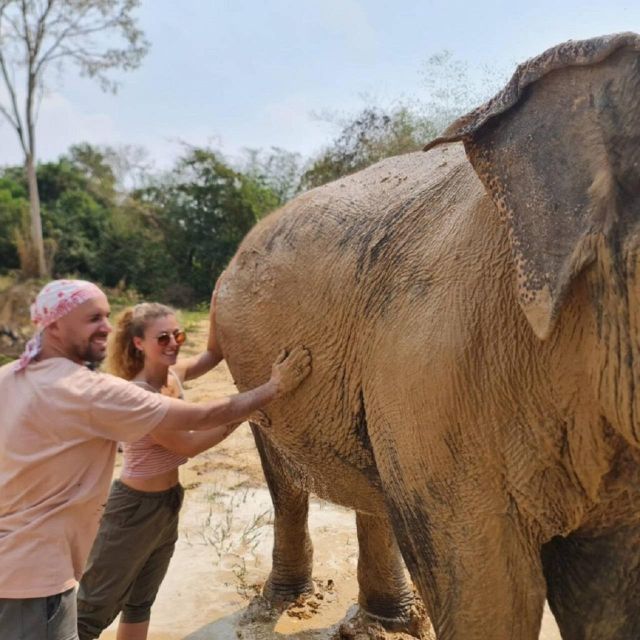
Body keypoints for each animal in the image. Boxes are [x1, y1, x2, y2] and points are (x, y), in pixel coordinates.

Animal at [216, 35, 640, 640]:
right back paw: (285, 607)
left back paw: (388, 622)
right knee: (287, 480)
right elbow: (492, 591)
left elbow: (607, 589)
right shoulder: (439, 369)